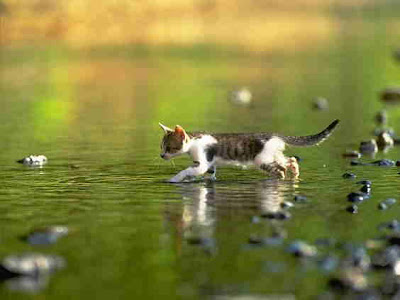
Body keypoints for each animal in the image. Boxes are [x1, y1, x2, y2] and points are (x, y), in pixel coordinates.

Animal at [158, 120, 340, 183]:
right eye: (162, 147)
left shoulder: (202, 161)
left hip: (262, 160)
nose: (161, 155)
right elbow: (209, 173)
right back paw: (294, 172)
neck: (194, 141)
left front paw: (174, 179)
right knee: (291, 160)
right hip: (274, 154)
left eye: (169, 148)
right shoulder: (209, 164)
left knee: (280, 170)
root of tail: (275, 135)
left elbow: (187, 170)